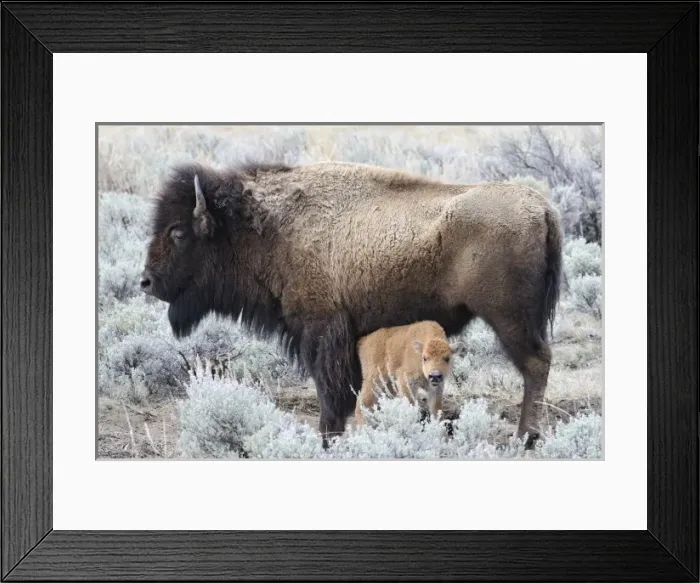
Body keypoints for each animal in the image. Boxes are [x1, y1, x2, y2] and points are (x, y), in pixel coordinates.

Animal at [140, 161, 563, 448]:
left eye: (178, 232)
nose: (146, 281)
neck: (271, 228)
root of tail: (542, 208)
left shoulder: (322, 330)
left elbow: (330, 390)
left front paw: (328, 436)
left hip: (509, 318)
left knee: (536, 364)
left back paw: (526, 437)